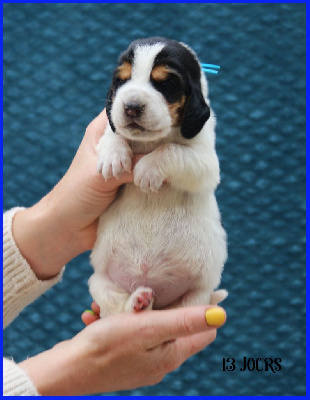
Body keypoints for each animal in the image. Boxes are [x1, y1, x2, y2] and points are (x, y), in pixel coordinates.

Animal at [88, 36, 226, 316]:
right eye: (122, 80)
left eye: (167, 83)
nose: (130, 107)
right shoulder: (109, 126)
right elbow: (112, 133)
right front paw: (113, 156)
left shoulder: (206, 161)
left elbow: (170, 150)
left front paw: (147, 170)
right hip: (99, 281)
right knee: (118, 307)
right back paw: (138, 302)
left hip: (198, 295)